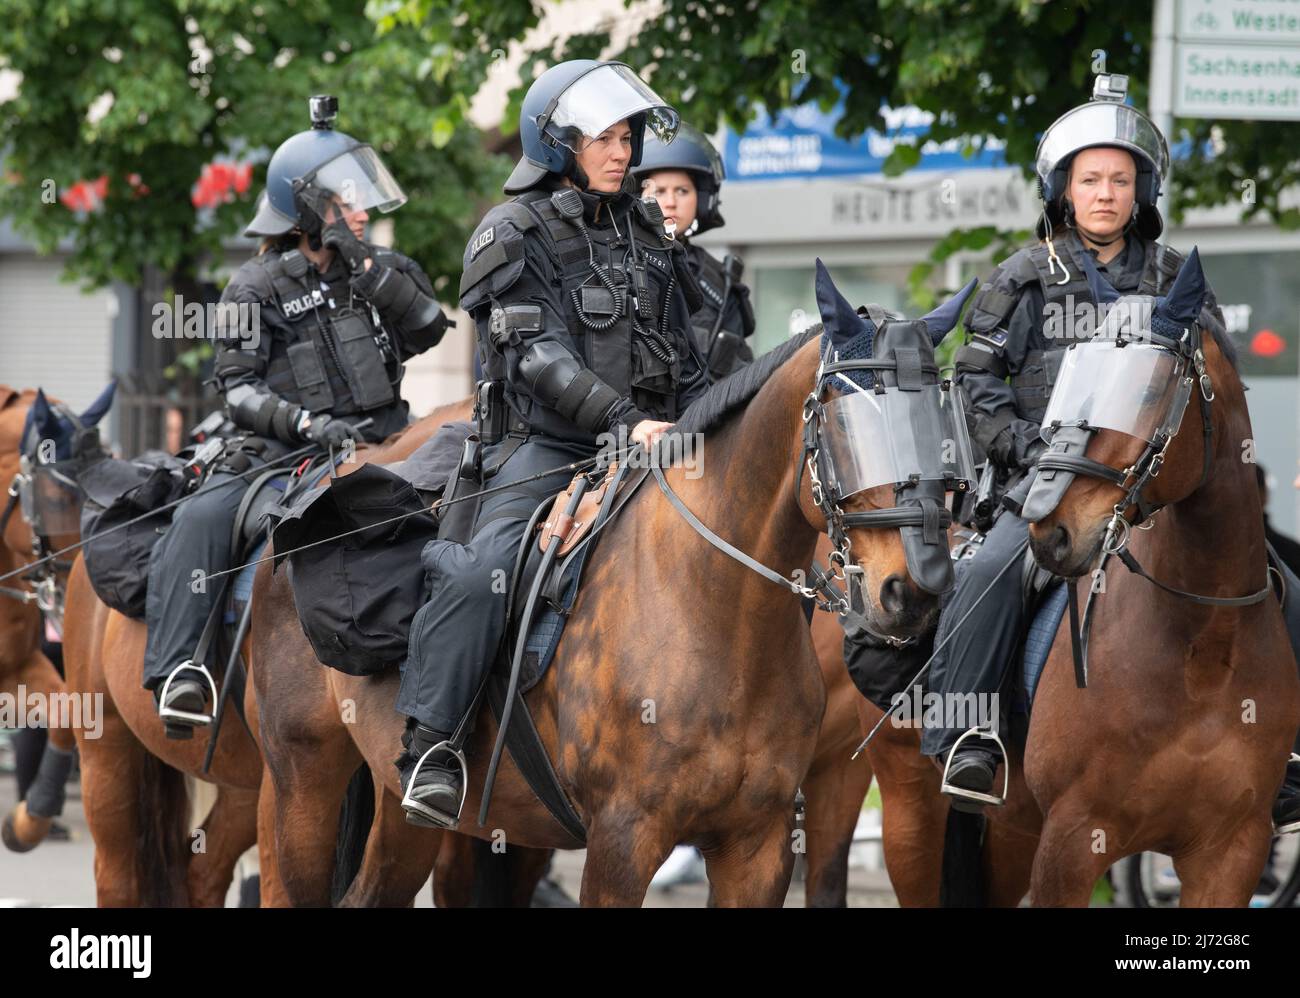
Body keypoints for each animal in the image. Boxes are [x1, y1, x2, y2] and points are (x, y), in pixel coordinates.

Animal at [258, 268, 977, 909]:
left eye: (947, 427)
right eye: (847, 427)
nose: (915, 590)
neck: (715, 613)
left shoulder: (759, 846)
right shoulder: (621, 842)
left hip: (398, 810)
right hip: (302, 785)